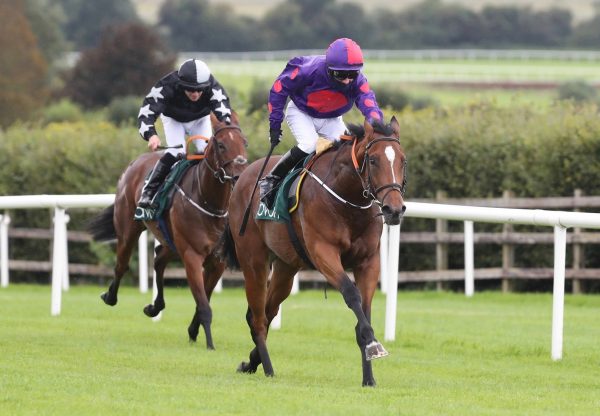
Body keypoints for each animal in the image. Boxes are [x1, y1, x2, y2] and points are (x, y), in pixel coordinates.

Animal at [88, 113, 247, 348]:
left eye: (244, 143)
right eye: (221, 144)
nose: (240, 176)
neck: (208, 201)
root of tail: (135, 163)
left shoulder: (217, 261)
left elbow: (204, 299)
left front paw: (193, 331)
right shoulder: (191, 256)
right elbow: (204, 305)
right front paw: (209, 344)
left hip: (171, 240)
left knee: (158, 259)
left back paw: (155, 306)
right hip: (128, 229)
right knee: (121, 265)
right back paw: (110, 296)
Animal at [220, 115, 408, 386]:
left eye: (403, 160)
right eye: (373, 160)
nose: (394, 209)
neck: (347, 200)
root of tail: (244, 177)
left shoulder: (368, 261)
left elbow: (365, 309)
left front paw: (369, 376)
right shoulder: (323, 253)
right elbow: (351, 294)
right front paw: (373, 344)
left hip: (286, 268)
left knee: (268, 311)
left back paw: (252, 362)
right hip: (253, 261)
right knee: (257, 317)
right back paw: (268, 368)